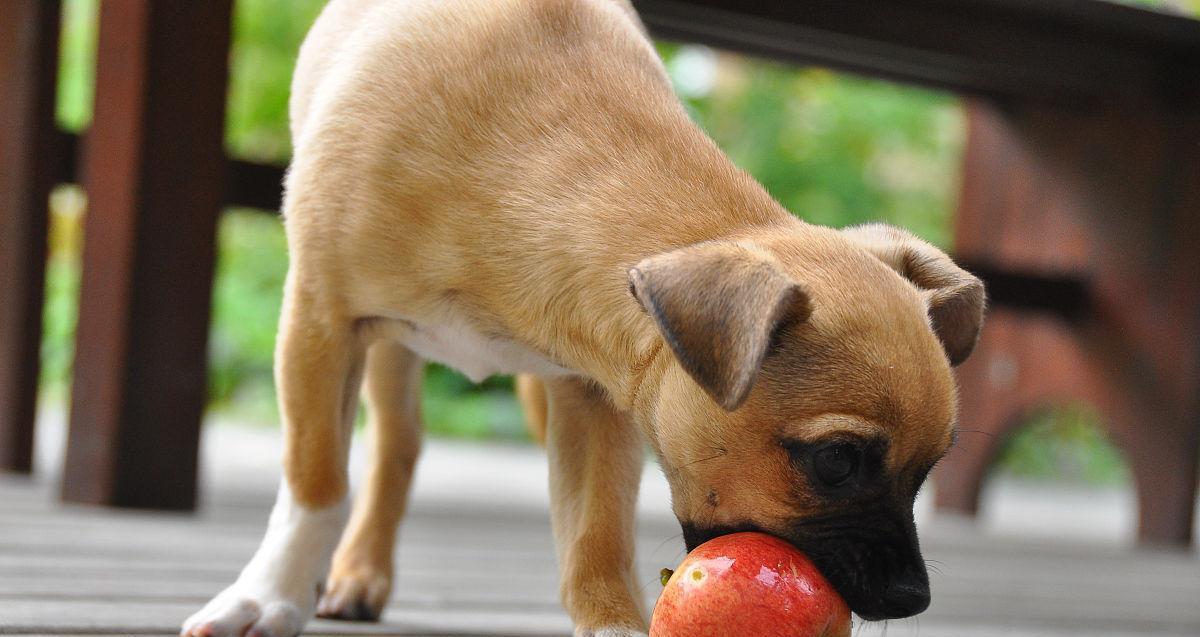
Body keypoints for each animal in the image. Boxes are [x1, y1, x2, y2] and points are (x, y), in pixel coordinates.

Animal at [180, 1, 984, 637]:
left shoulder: (594, 394)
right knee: (395, 448)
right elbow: (316, 480)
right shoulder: (319, 320)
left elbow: (596, 533)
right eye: (835, 460)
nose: (914, 599)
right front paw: (270, 596)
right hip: (387, 351)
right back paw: (355, 571)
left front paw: (611, 622)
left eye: (930, 467)